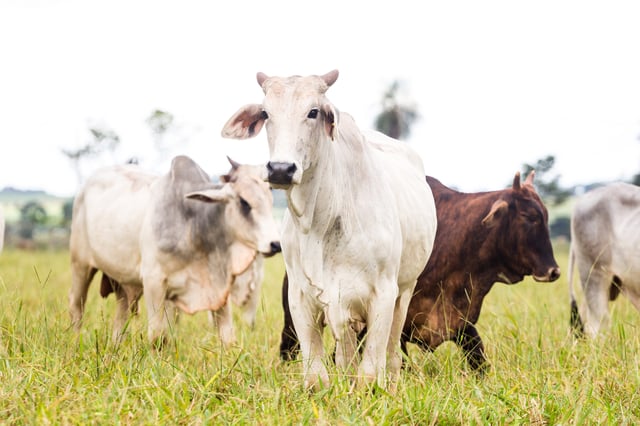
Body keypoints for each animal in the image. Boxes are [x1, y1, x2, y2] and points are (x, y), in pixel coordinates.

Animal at [69, 155, 281, 346]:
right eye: (244, 202)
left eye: (271, 200)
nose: (276, 244)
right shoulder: (153, 282)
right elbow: (158, 336)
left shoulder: (219, 289)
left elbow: (228, 338)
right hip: (80, 265)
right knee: (77, 308)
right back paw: (75, 344)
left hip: (123, 282)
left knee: (121, 315)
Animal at [221, 70, 437, 390]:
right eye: (265, 113)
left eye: (313, 112)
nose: (281, 169)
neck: (321, 222)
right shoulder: (301, 296)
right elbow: (316, 375)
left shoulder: (384, 293)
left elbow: (370, 372)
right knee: (347, 355)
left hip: (405, 290)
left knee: (391, 354)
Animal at [280, 172, 561, 373]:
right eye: (528, 216)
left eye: (545, 215)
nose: (553, 271)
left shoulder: (460, 323)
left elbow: (479, 361)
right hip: (293, 318)